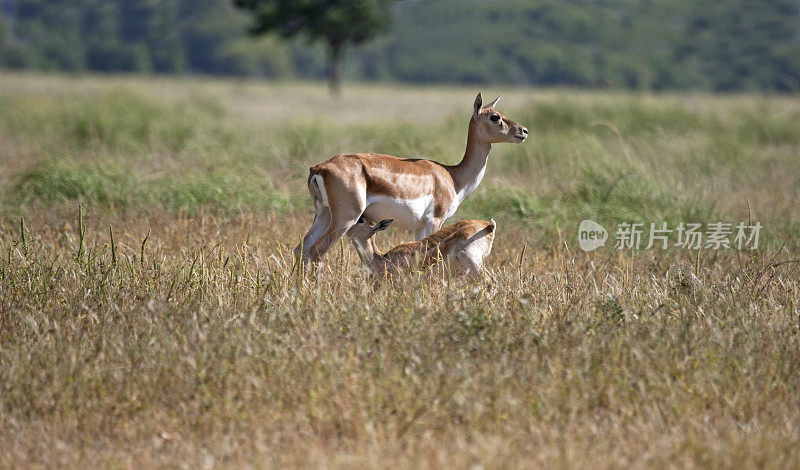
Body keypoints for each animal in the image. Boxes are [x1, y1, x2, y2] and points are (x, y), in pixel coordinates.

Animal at [294, 91, 524, 260]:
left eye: (501, 112)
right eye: (495, 117)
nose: (523, 131)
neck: (452, 176)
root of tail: (319, 168)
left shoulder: (420, 226)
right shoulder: (435, 221)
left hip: (324, 214)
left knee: (301, 249)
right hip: (345, 218)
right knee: (315, 252)